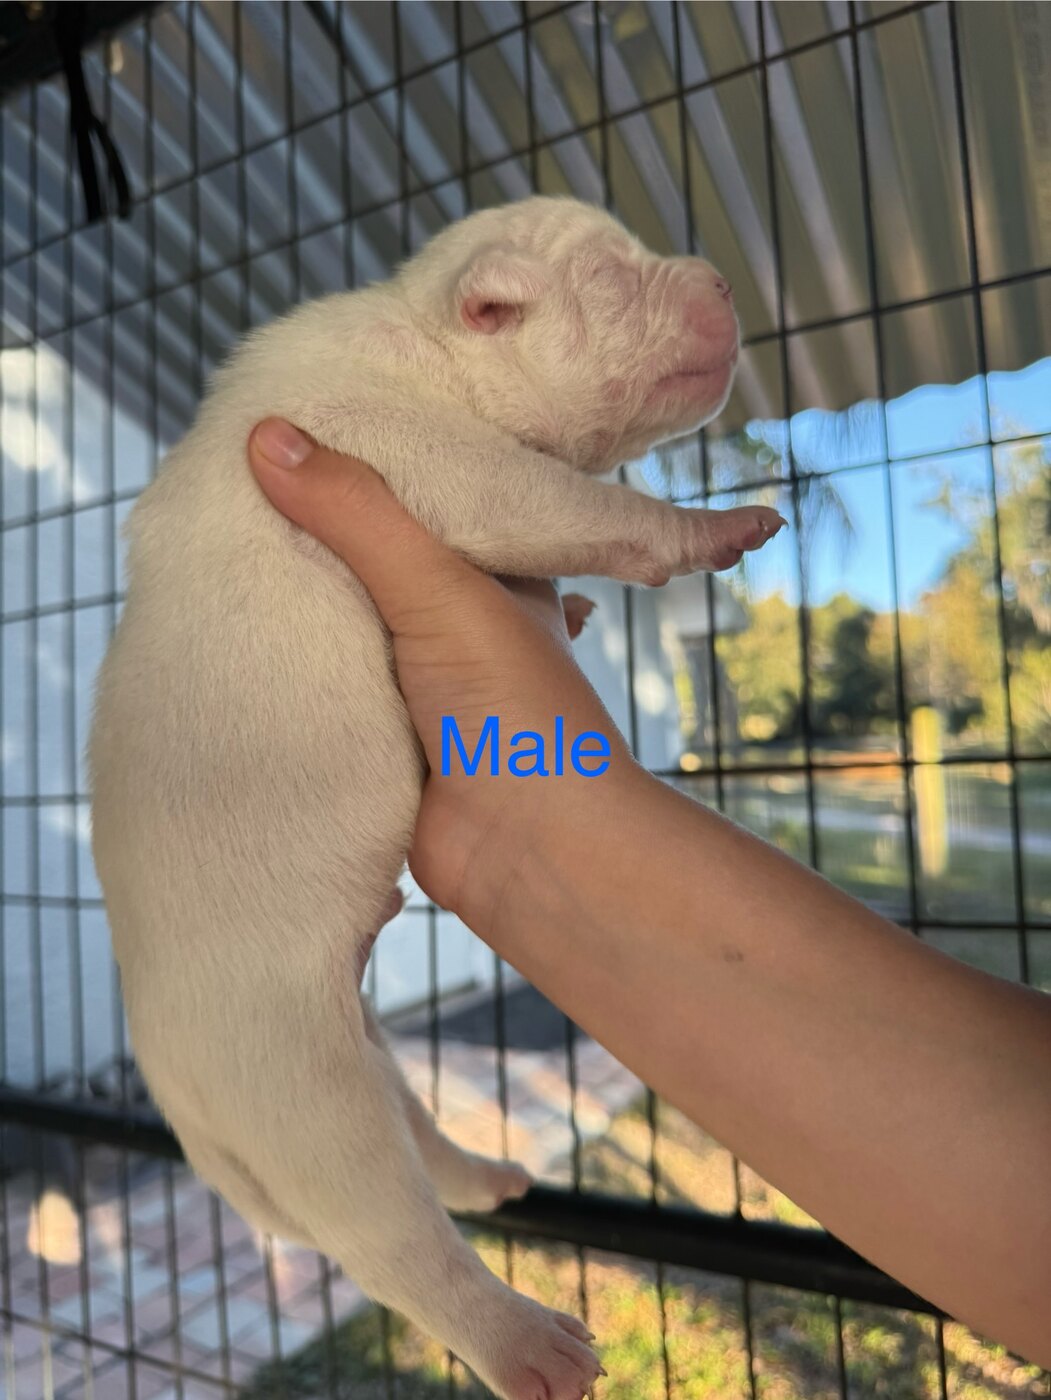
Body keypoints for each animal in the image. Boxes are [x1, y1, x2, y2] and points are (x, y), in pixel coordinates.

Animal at [87, 196, 784, 1400]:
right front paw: (714, 528)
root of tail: (182, 1107)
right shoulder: (434, 461)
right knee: (395, 1239)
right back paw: (527, 1343)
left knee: (418, 1138)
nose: (722, 282)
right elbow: (578, 505)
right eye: (611, 277)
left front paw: (572, 616)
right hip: (293, 1085)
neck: (425, 338)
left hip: (357, 1043)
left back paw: (486, 1174)